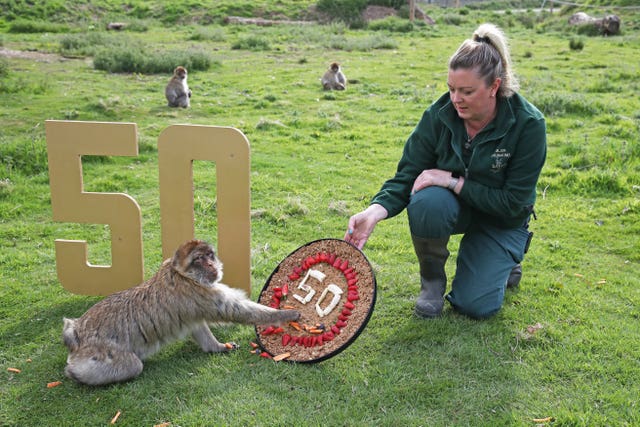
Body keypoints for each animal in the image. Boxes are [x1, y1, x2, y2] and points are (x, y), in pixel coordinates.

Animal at [62, 241, 300, 388]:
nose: (211, 264)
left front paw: (216, 347)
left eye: (209, 255)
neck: (183, 275)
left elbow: (197, 325)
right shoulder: (199, 293)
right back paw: (74, 374)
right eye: (199, 259)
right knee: (132, 366)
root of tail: (76, 332)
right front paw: (284, 315)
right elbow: (236, 310)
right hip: (99, 357)